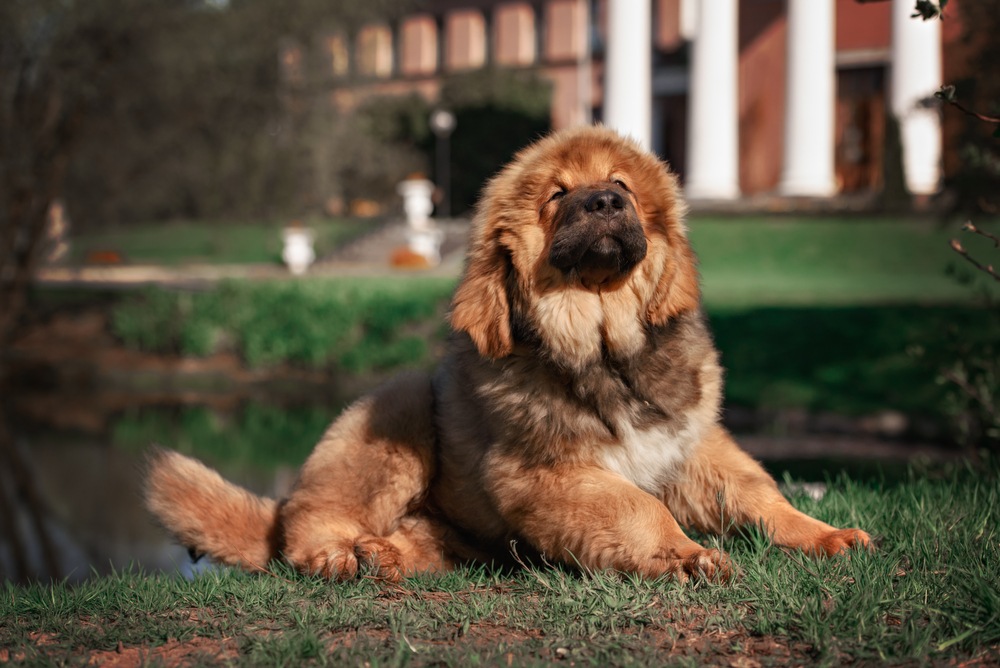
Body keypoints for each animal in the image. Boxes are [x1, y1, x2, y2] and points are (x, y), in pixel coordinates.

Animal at [145, 124, 872, 580]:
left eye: (622, 185)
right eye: (558, 195)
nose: (604, 201)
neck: (604, 348)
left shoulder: (689, 447)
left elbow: (755, 493)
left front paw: (823, 534)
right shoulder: (547, 473)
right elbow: (639, 507)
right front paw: (687, 555)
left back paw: (386, 558)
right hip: (396, 412)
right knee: (307, 518)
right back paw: (335, 554)